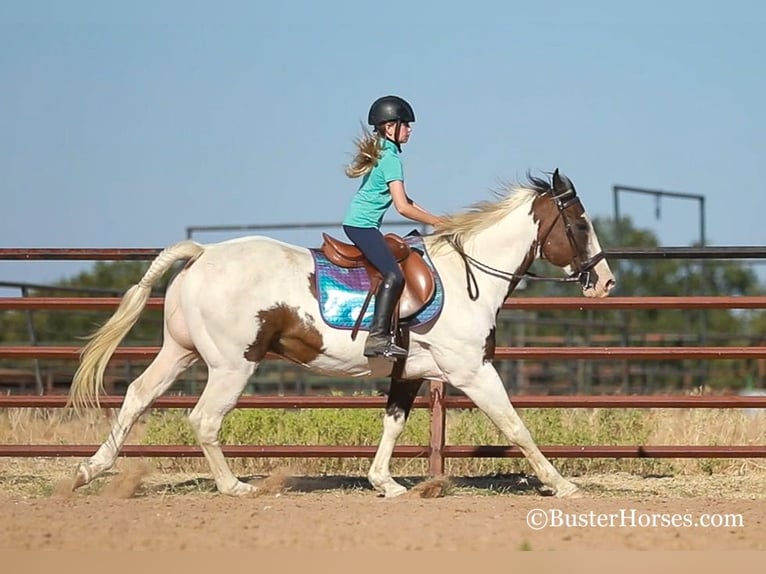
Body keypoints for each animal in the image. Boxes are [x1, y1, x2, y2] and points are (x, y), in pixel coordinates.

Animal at [67, 170, 616, 500]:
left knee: (138, 395)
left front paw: (385, 484)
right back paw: (234, 487)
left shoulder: (409, 372)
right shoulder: (473, 371)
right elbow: (515, 426)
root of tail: (203, 253)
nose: (606, 283)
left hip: (180, 352)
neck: (467, 278)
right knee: (203, 419)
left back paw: (89, 471)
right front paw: (561, 484)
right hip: (231, 364)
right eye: (580, 224)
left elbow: (393, 424)